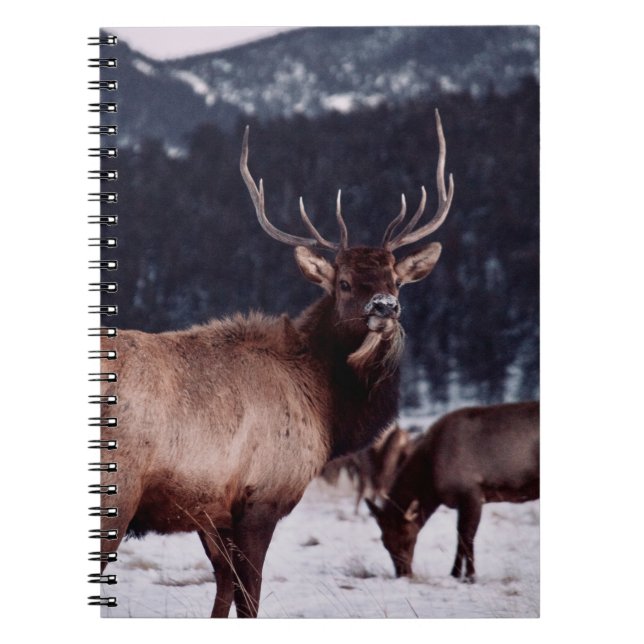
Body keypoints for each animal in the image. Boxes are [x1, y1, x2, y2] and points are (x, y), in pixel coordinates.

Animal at [97, 109, 454, 617]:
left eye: (396, 280)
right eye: (344, 282)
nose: (385, 307)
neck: (326, 409)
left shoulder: (214, 509)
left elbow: (223, 591)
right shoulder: (261, 496)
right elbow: (249, 598)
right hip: (118, 489)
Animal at [366, 401, 539, 582]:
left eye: (407, 537)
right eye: (384, 542)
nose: (404, 574)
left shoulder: (473, 495)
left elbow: (466, 537)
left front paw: (470, 575)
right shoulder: (460, 502)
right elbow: (459, 537)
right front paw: (455, 573)